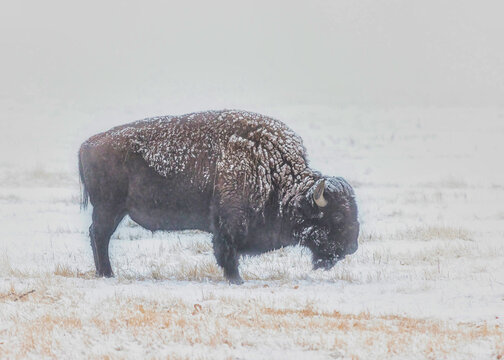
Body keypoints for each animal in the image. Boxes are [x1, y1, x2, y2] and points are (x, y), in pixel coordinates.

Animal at [79, 109, 360, 284]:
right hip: (108, 209)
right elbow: (227, 252)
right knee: (99, 236)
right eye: (336, 216)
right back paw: (107, 273)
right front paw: (236, 280)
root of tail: (87, 144)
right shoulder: (229, 226)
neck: (271, 170)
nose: (352, 247)